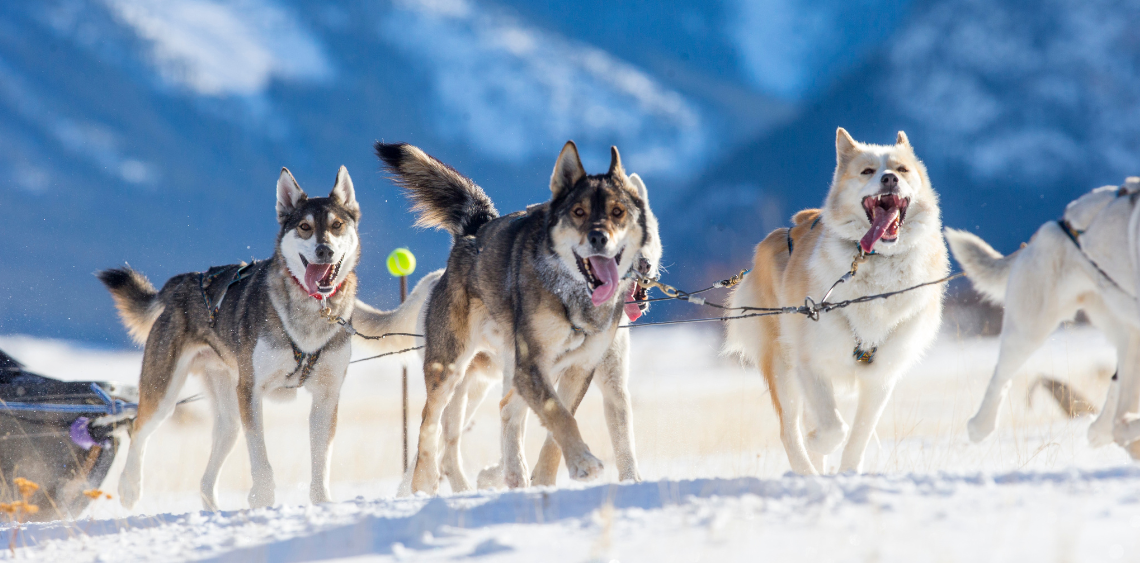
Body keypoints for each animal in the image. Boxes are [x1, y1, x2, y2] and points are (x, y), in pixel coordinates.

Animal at [100, 166, 430, 510]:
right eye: (304, 227)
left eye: (337, 225)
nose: (324, 250)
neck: (311, 312)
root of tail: (183, 282)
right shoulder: (251, 391)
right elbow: (260, 458)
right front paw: (263, 499)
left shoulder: (326, 396)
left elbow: (321, 461)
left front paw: (321, 501)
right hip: (165, 391)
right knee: (139, 429)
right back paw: (130, 487)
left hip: (229, 414)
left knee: (207, 477)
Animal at [376, 140, 656, 492]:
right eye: (578, 212)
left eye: (618, 212)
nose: (598, 238)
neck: (574, 294)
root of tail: (474, 231)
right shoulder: (531, 364)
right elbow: (559, 415)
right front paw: (582, 462)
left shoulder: (580, 368)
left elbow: (558, 425)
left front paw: (554, 476)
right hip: (451, 367)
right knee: (430, 423)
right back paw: (425, 483)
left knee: (506, 409)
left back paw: (515, 476)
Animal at [725, 128, 948, 474]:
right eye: (868, 171)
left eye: (902, 169)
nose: (889, 179)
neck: (875, 267)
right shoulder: (811, 364)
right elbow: (832, 429)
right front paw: (818, 442)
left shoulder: (881, 378)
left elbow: (858, 436)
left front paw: (847, 473)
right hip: (782, 367)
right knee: (790, 431)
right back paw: (808, 472)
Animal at [948, 177, 1140, 455]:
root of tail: (1055, 223)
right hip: (1029, 329)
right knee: (1000, 378)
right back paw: (979, 427)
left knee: (1117, 397)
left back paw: (1107, 432)